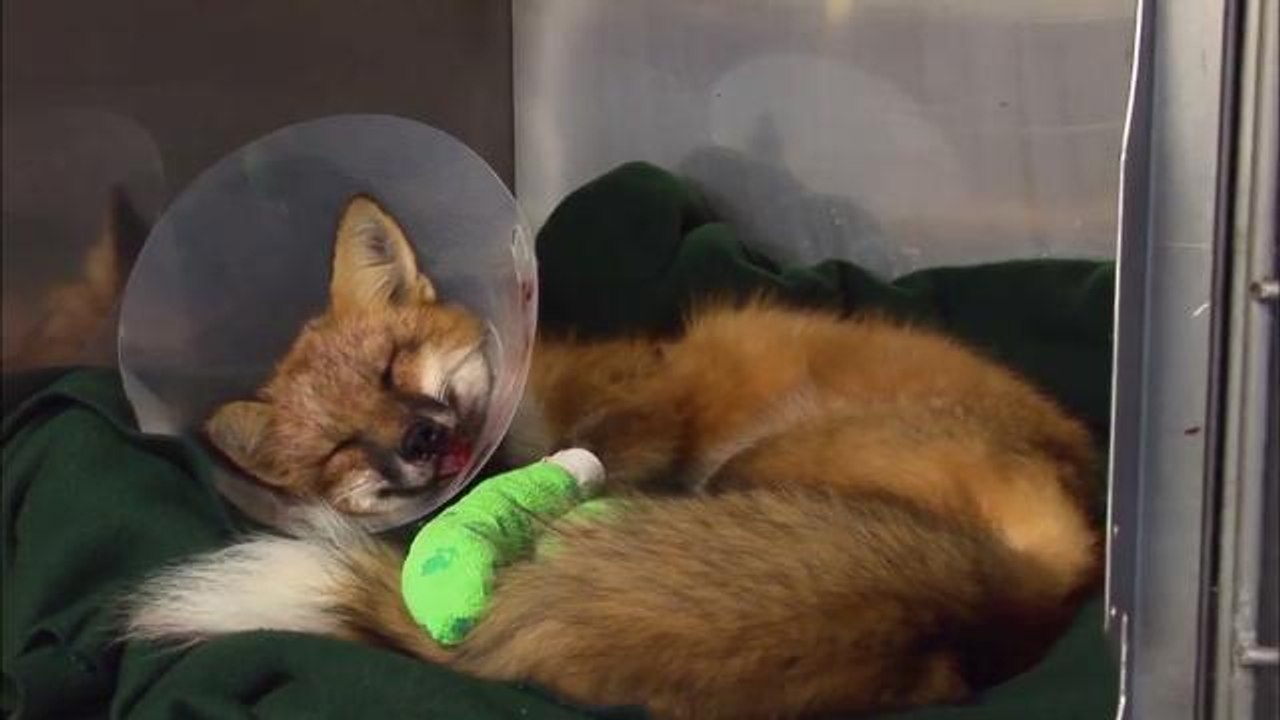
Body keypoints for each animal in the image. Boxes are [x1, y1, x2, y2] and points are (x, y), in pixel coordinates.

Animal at [125, 194, 1103, 719]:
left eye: (394, 365)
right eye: (340, 448)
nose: (418, 441)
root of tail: (1067, 555)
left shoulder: (646, 402)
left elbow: (598, 447)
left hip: (760, 462)